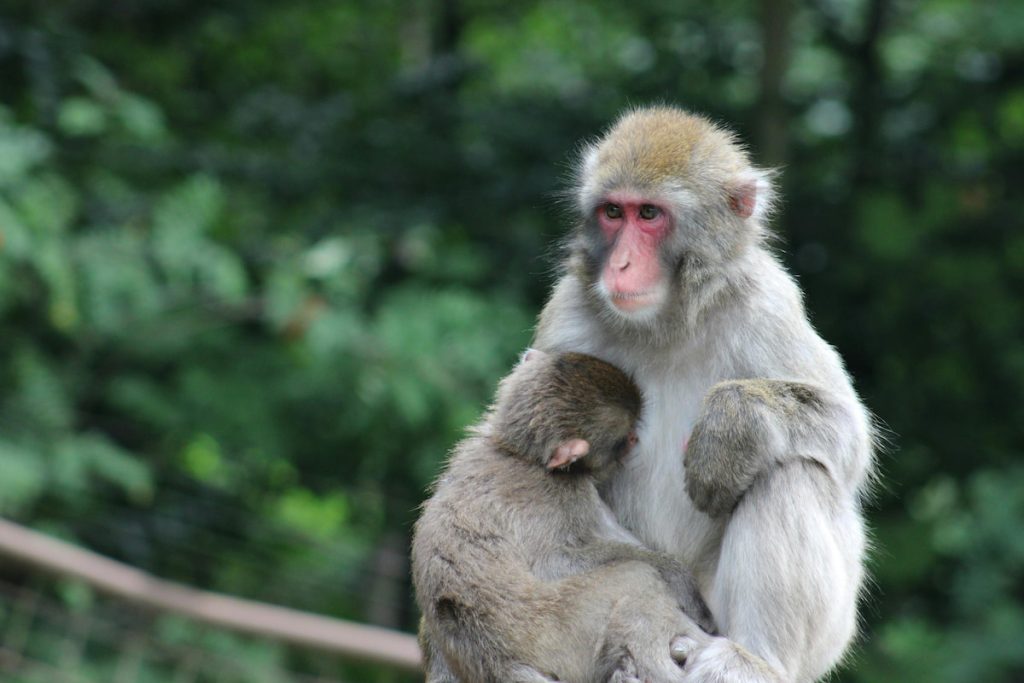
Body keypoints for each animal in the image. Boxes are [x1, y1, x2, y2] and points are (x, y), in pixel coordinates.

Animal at [412, 350, 778, 683]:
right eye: (623, 440)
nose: (635, 440)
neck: (520, 453)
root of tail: (498, 661)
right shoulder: (564, 496)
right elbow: (556, 561)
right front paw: (680, 581)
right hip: (559, 630)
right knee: (635, 577)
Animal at [529, 106, 875, 682]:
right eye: (612, 213)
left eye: (649, 214)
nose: (620, 265)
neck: (665, 323)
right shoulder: (568, 318)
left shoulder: (766, 302)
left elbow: (849, 436)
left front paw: (733, 428)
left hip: (819, 629)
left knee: (792, 470)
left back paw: (757, 659)